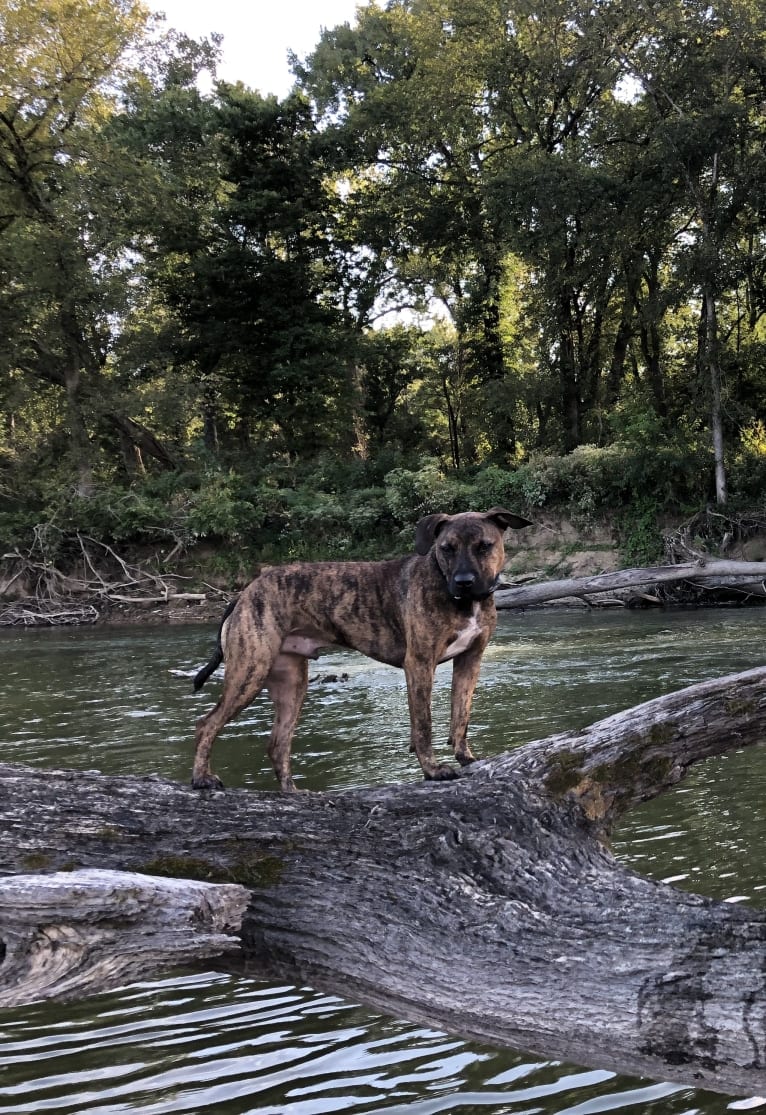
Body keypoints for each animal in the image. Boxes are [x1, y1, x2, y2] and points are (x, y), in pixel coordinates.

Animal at [190, 510, 532, 789]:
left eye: (484, 546)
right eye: (446, 548)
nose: (464, 581)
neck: (459, 599)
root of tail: (244, 593)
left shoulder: (470, 660)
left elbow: (461, 715)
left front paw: (466, 756)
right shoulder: (420, 664)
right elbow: (423, 725)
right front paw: (433, 771)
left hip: (291, 684)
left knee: (277, 745)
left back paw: (295, 794)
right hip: (250, 671)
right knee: (207, 724)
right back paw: (202, 778)